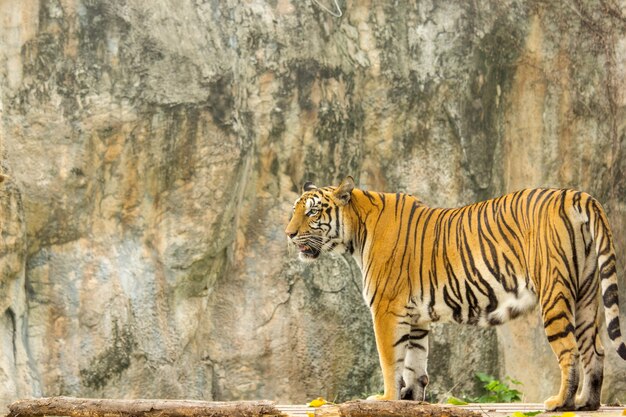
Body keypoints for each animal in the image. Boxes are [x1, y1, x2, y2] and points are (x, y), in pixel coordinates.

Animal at [286, 175, 624, 410]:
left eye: (312, 214)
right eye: (294, 211)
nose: (288, 234)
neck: (357, 231)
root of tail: (576, 194)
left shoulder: (386, 308)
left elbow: (390, 359)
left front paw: (385, 398)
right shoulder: (416, 317)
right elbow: (414, 362)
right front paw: (409, 399)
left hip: (554, 292)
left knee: (570, 351)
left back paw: (560, 403)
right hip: (586, 293)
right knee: (595, 350)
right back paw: (586, 403)